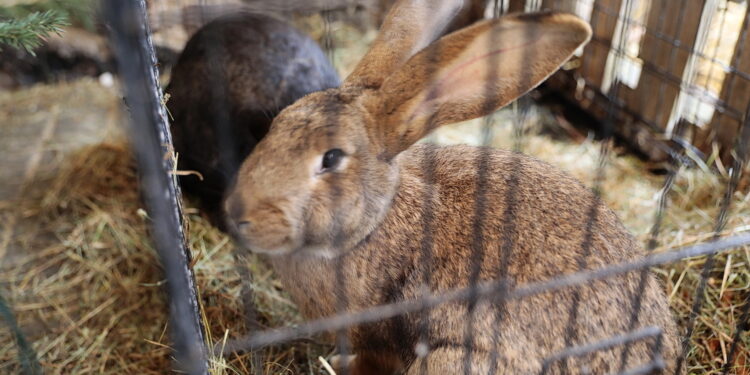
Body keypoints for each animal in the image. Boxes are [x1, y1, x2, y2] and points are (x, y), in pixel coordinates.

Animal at [222, 1, 680, 374]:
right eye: (277, 124)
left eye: (331, 158)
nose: (238, 214)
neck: (374, 222)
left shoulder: (378, 338)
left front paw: (340, 366)